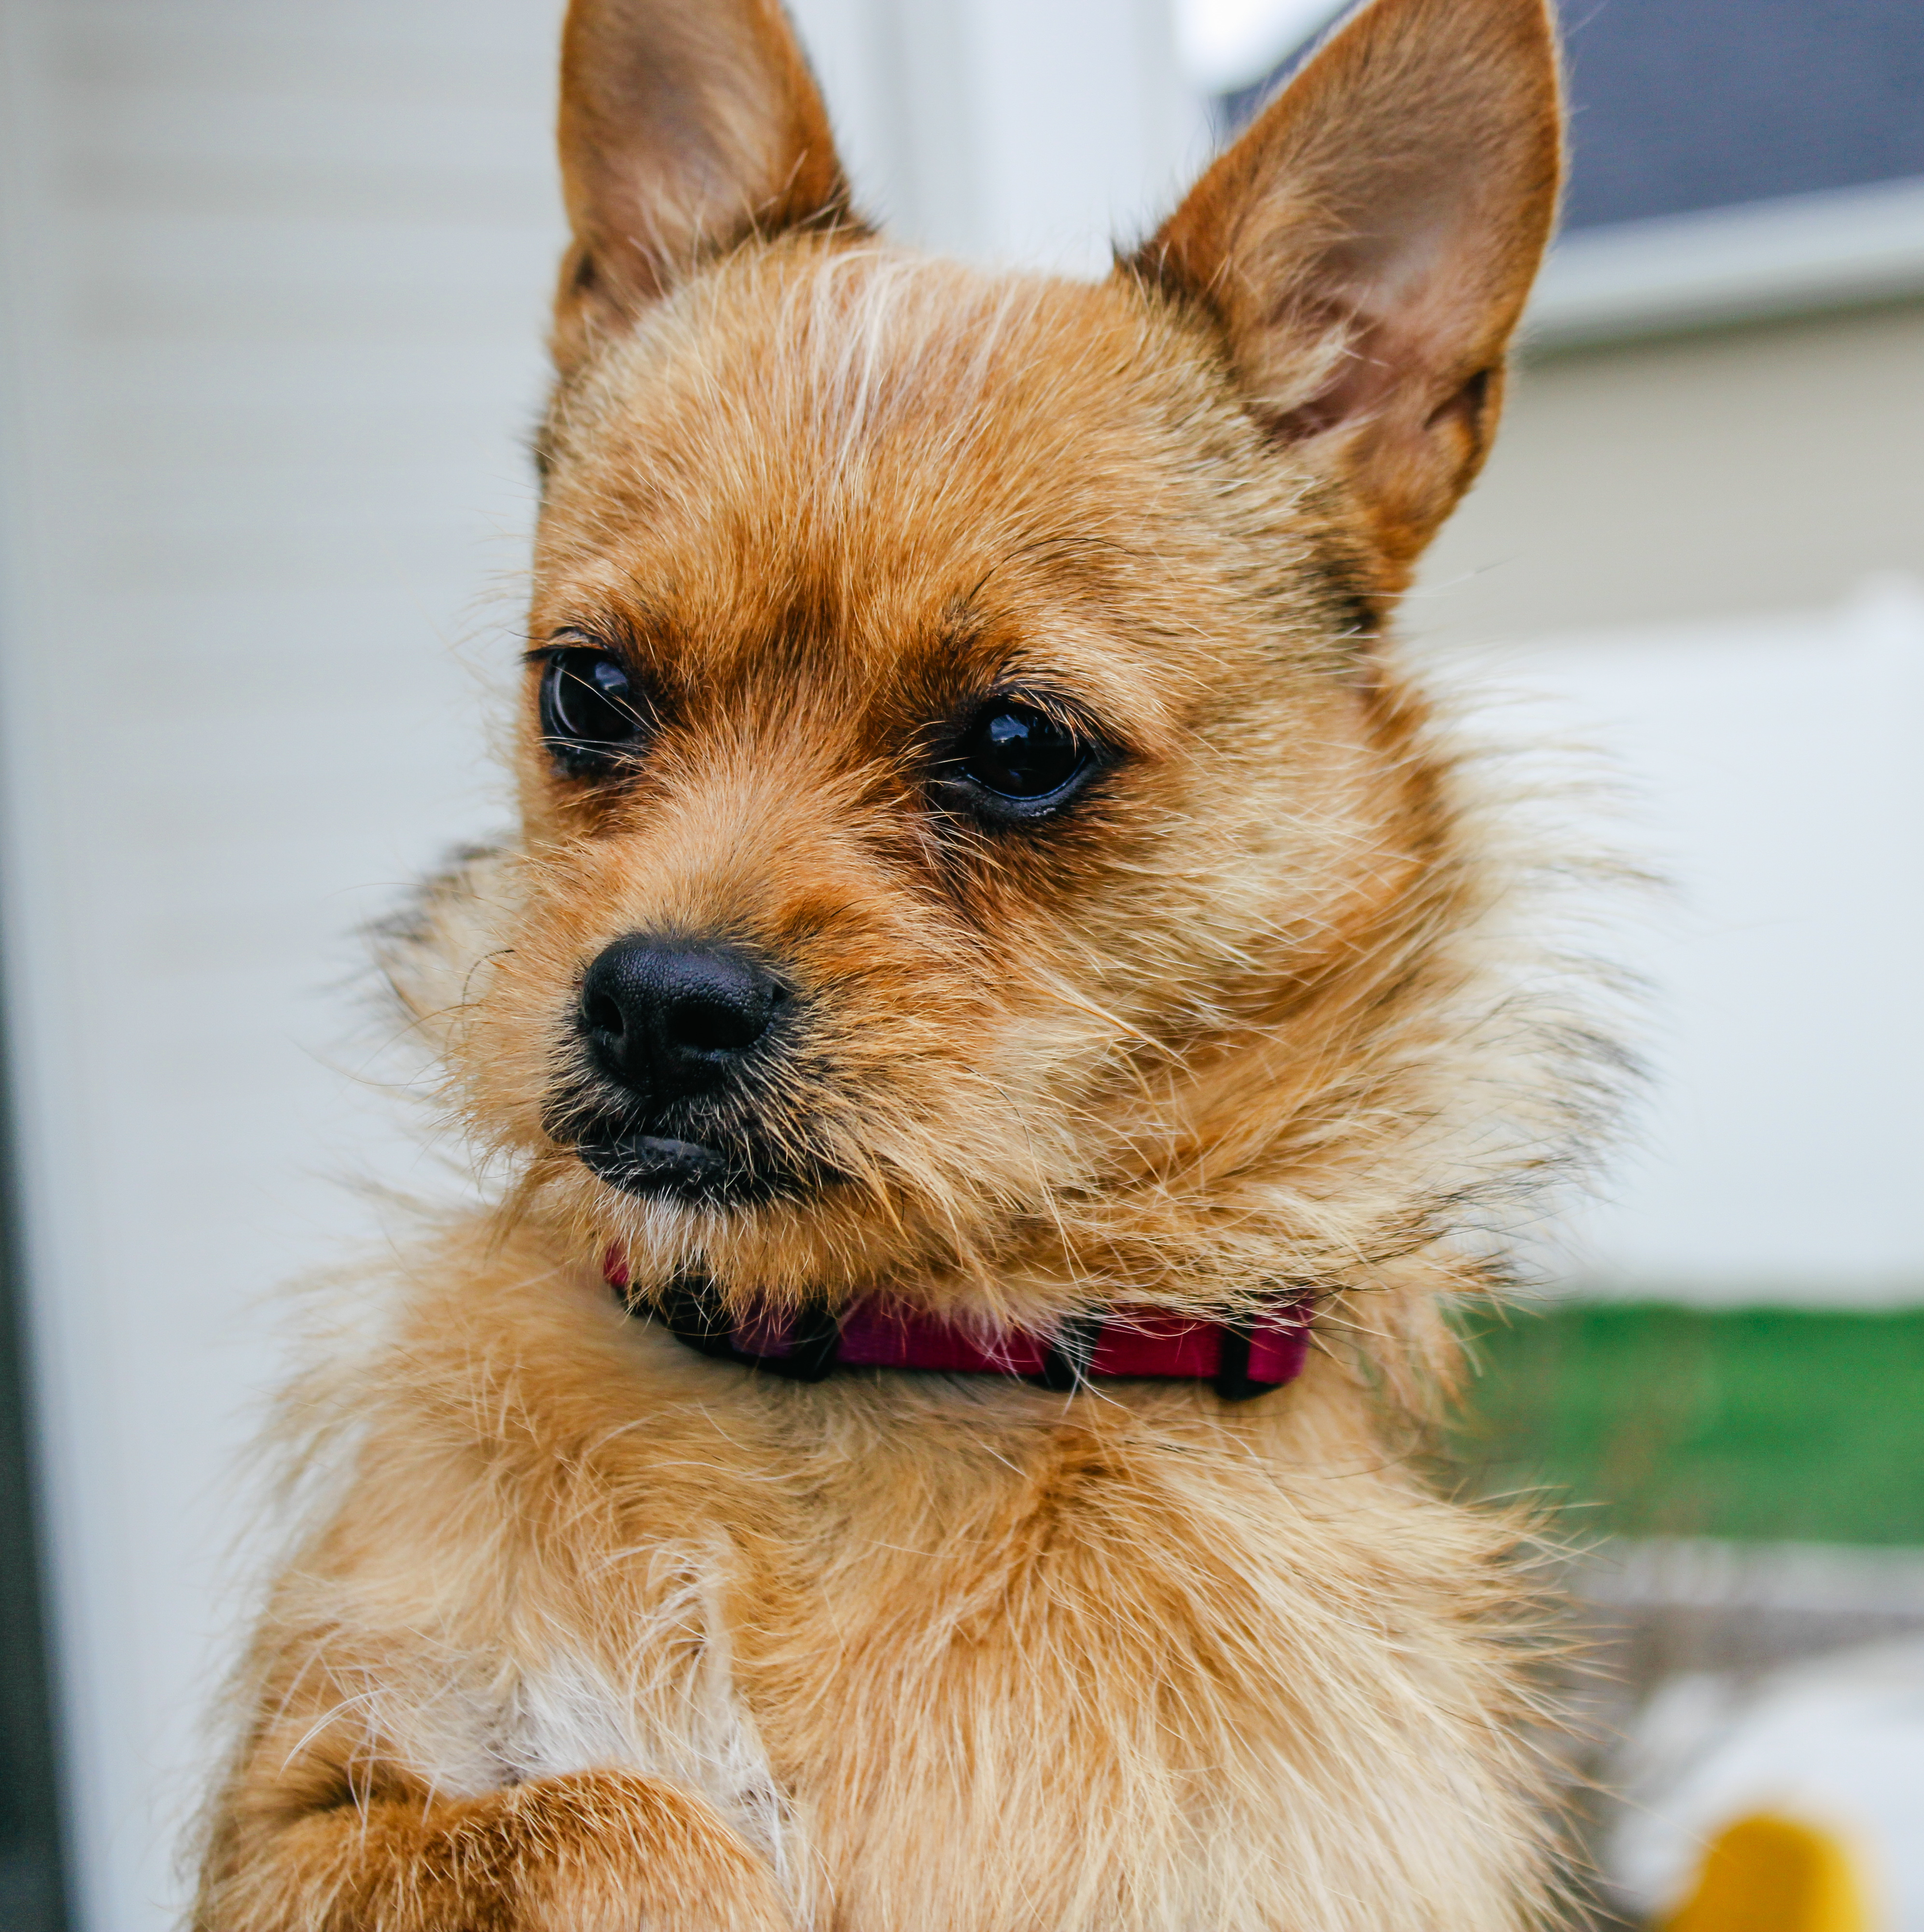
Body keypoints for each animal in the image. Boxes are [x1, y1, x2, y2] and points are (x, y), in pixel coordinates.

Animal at [195, 3, 1607, 1932]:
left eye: (1017, 744)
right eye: (586, 691)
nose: (655, 1000)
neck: (863, 1369)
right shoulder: (306, 1807)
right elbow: (601, 1810)